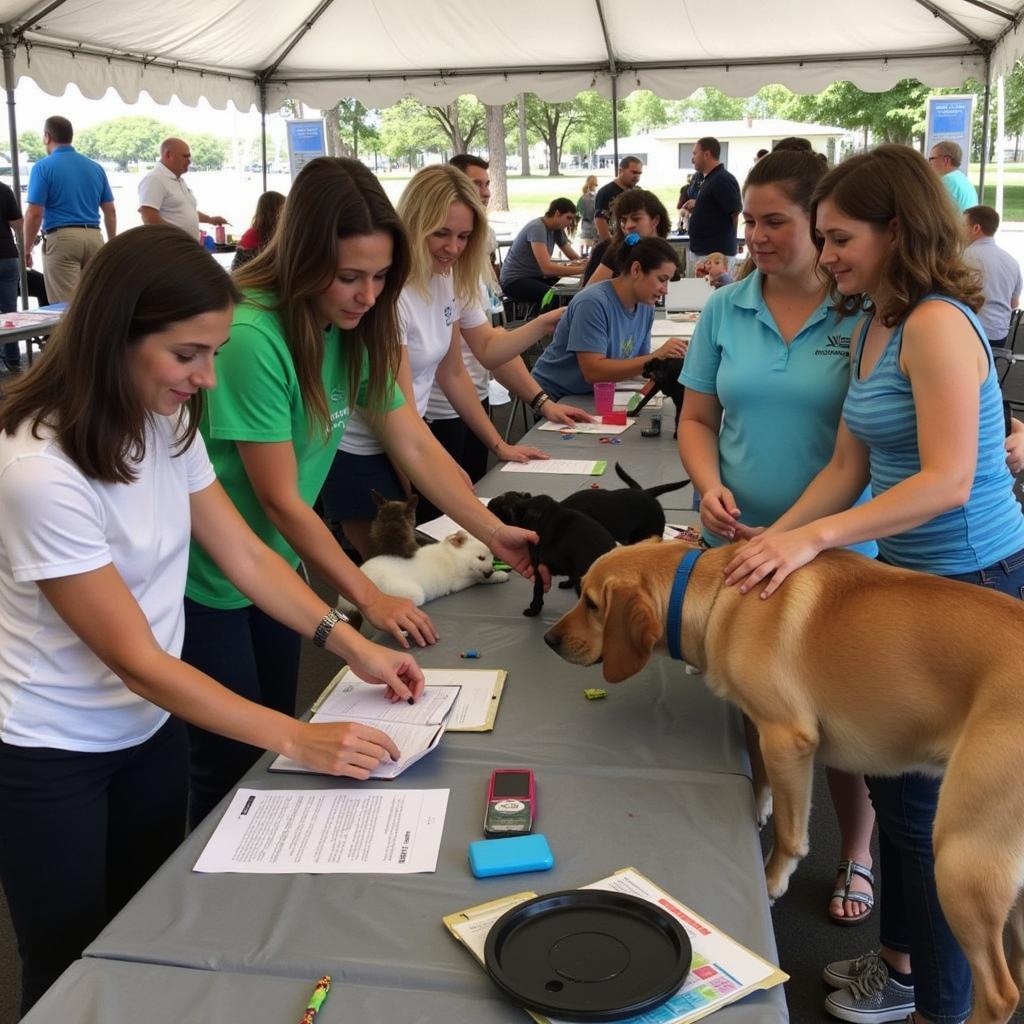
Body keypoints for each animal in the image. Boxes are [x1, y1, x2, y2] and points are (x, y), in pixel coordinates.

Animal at [339, 528, 507, 606]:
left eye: (492, 559)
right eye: (481, 558)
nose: (491, 571)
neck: (453, 556)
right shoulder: (459, 582)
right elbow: (479, 578)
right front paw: (499, 575)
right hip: (413, 593)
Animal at [548, 536, 1024, 1024]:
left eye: (592, 603)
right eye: (582, 594)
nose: (549, 639)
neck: (718, 594)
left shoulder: (788, 740)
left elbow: (790, 835)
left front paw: (772, 880)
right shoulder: (759, 727)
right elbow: (759, 776)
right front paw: (758, 805)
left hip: (961, 857)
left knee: (1000, 991)